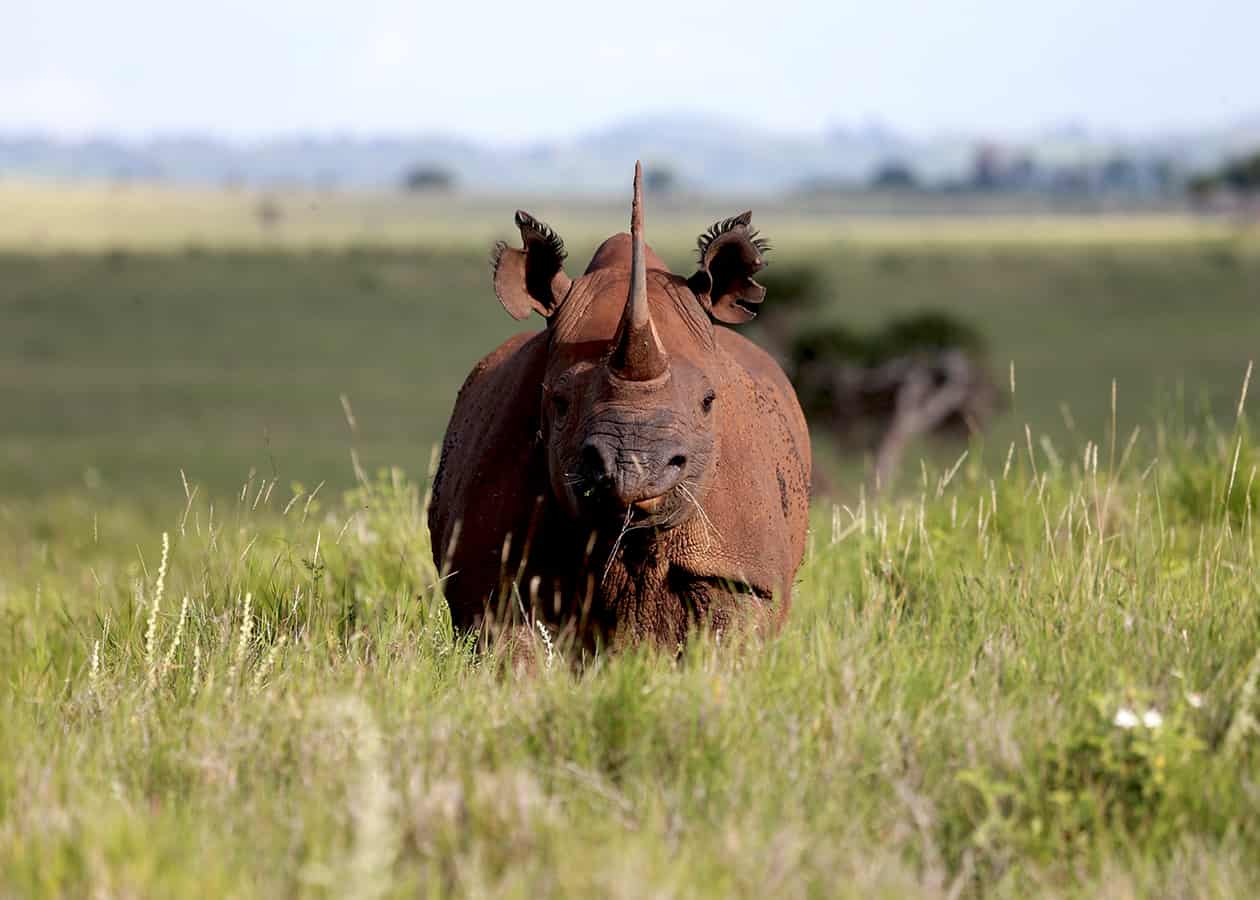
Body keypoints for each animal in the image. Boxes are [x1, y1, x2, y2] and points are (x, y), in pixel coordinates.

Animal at [428, 163, 810, 652]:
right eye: (558, 403)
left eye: (709, 402)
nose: (634, 468)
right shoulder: (493, 575)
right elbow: (515, 645)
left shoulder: (741, 570)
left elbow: (731, 639)